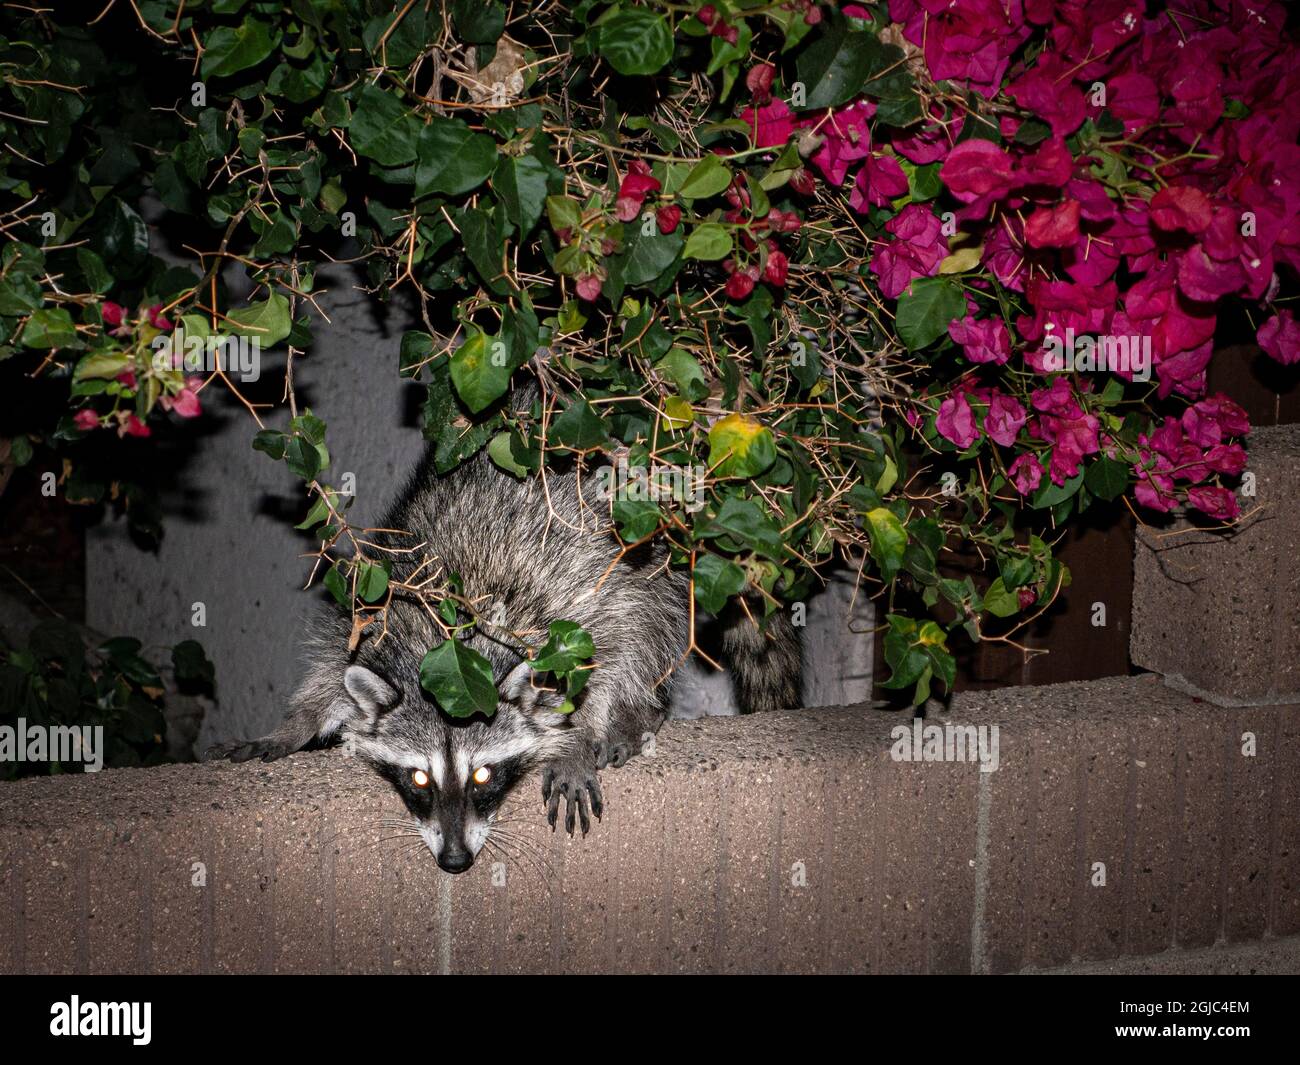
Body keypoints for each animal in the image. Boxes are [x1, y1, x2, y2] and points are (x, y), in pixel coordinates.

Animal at [209, 412, 802, 873]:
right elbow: (333, 669)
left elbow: (605, 660)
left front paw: (575, 738)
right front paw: (293, 725)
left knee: (650, 627)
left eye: (484, 774)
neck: (448, 650)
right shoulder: (376, 607)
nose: (454, 861)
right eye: (419, 778)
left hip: (654, 553)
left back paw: (639, 710)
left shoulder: (574, 604)